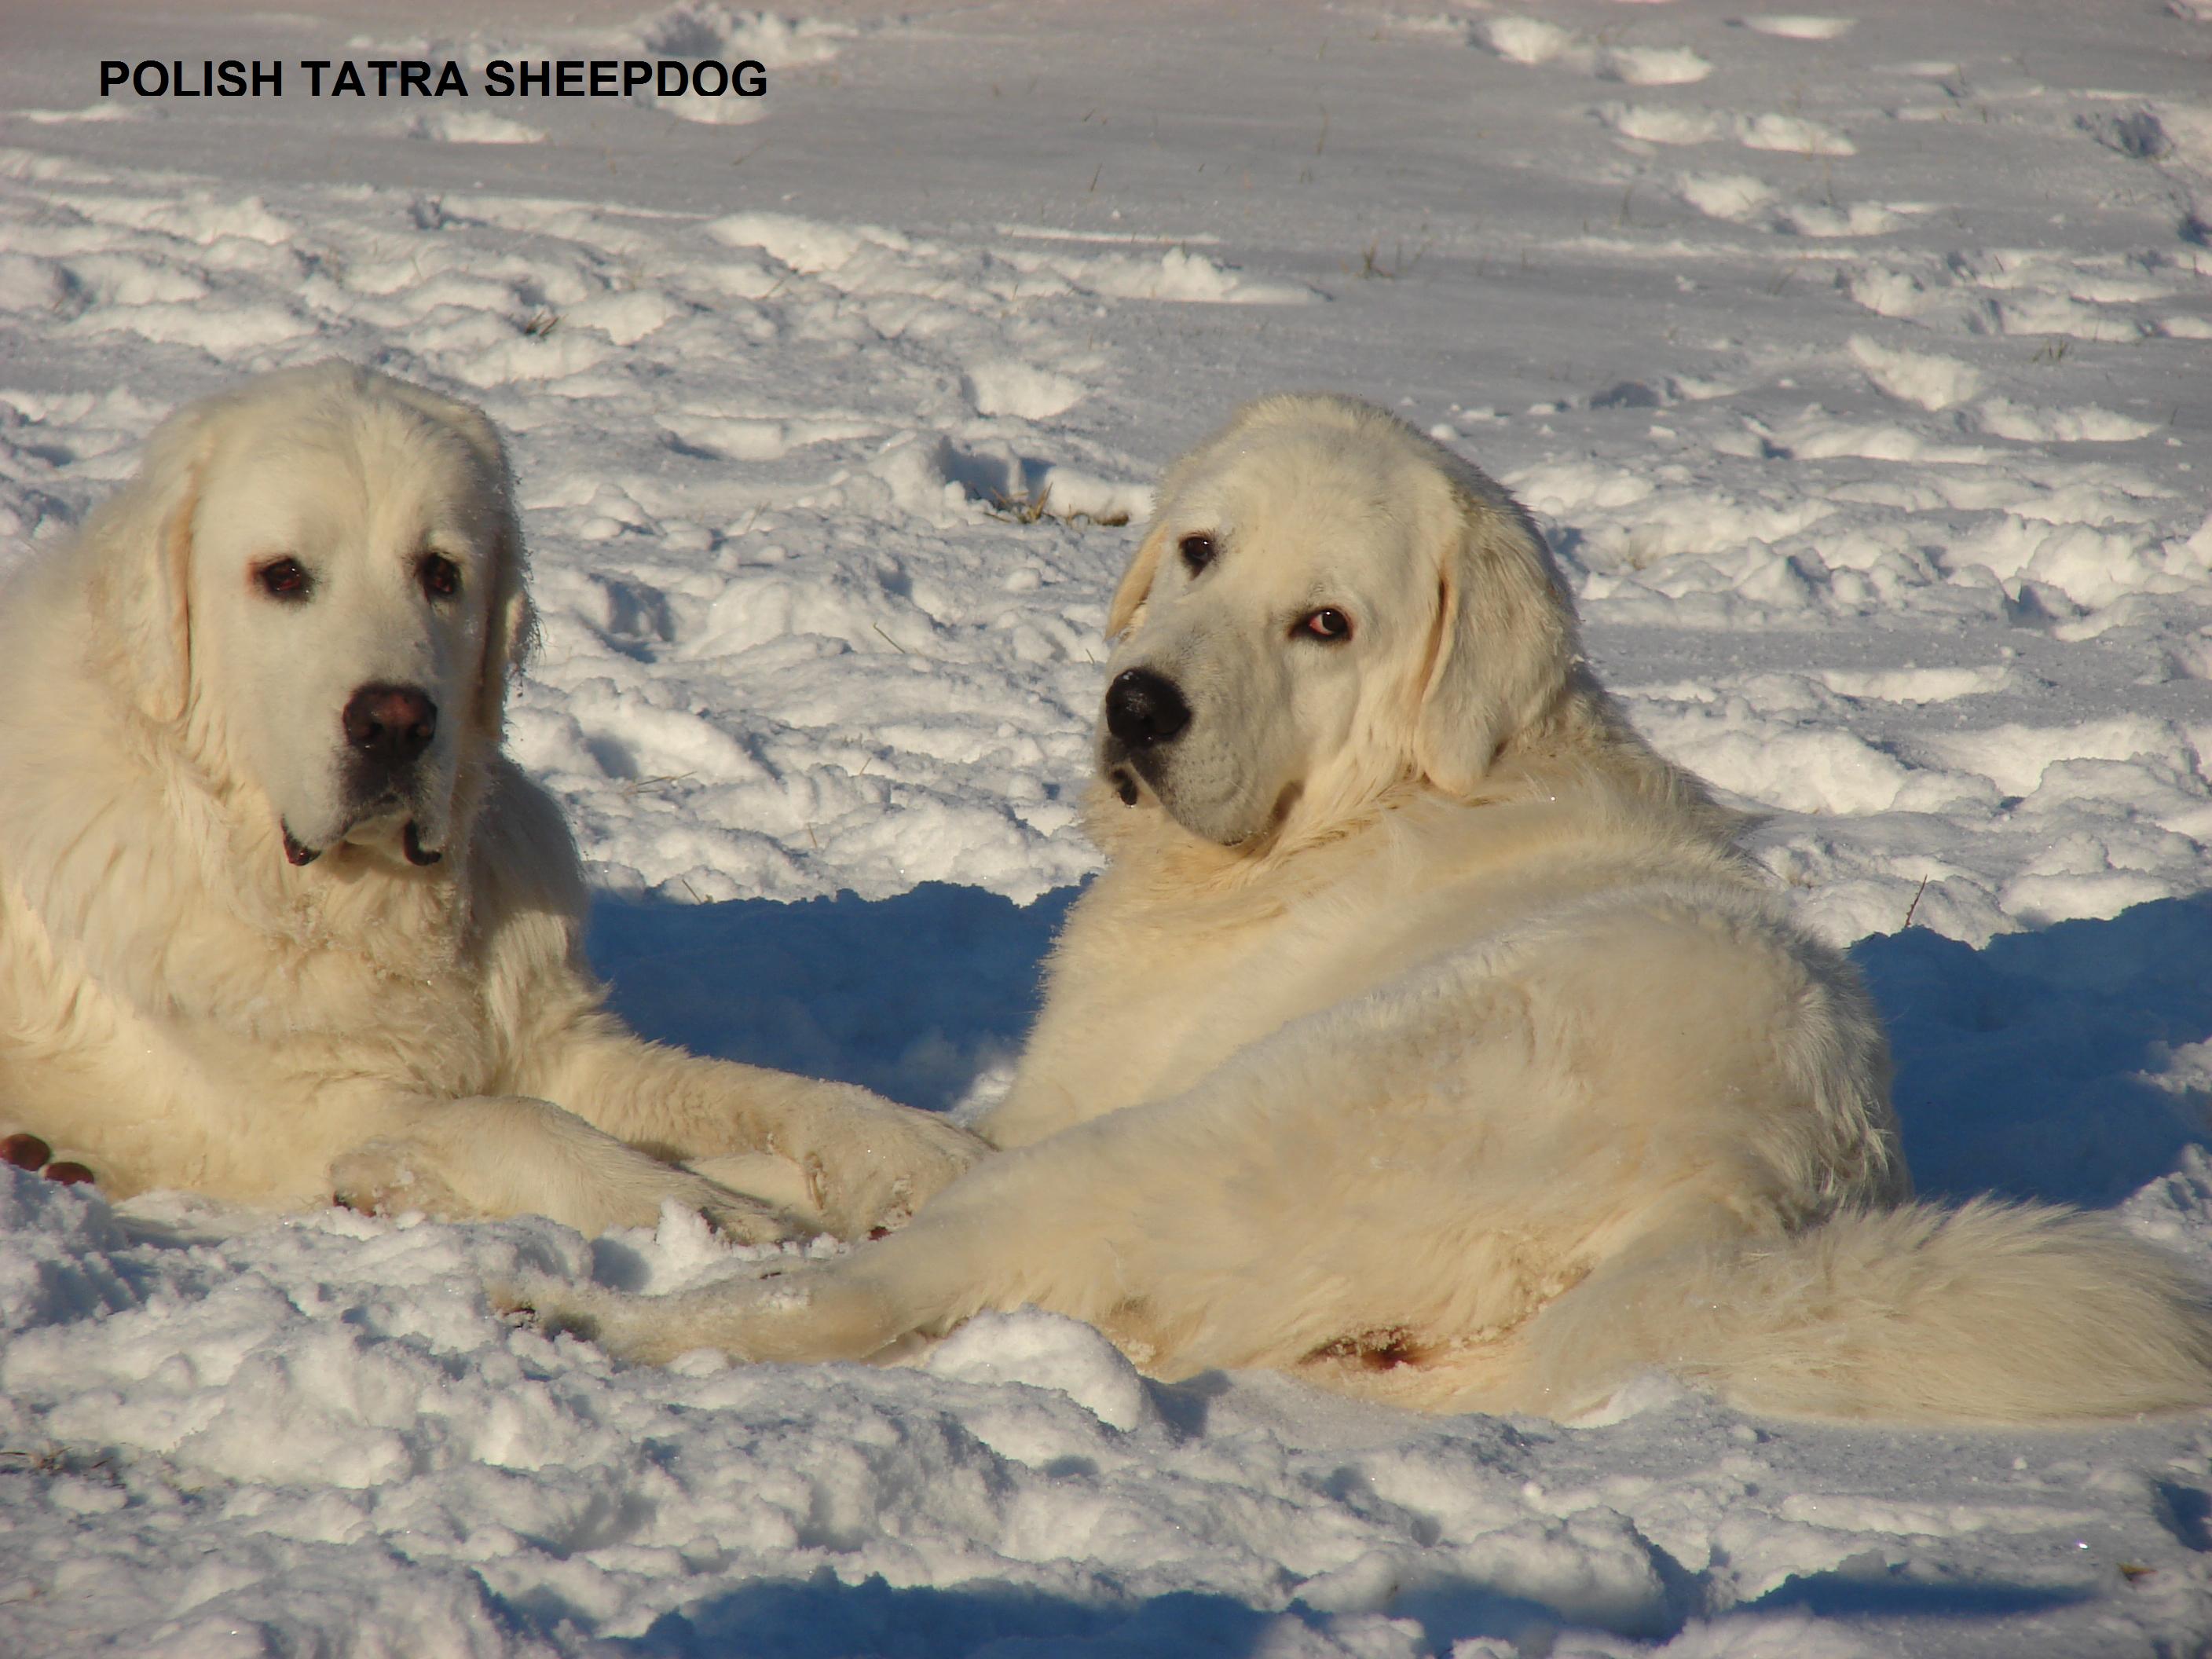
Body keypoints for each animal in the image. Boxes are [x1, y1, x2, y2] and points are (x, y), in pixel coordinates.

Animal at [0, 367, 986, 1247]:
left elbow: (751, 1087)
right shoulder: (303, 1114)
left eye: (441, 573)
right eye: (282, 576)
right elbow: (511, 1121)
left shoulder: (561, 1045)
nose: (395, 723)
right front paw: (700, 1212)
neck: (359, 899)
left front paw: (910, 1151)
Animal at [513, 396, 2212, 1424]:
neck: (1363, 803)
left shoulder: (1053, 1109)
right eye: (1197, 551)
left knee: (863, 1292)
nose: (1138, 704)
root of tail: (1741, 1185)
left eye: (1323, 625)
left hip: (1197, 1131)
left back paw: (586, 1322)